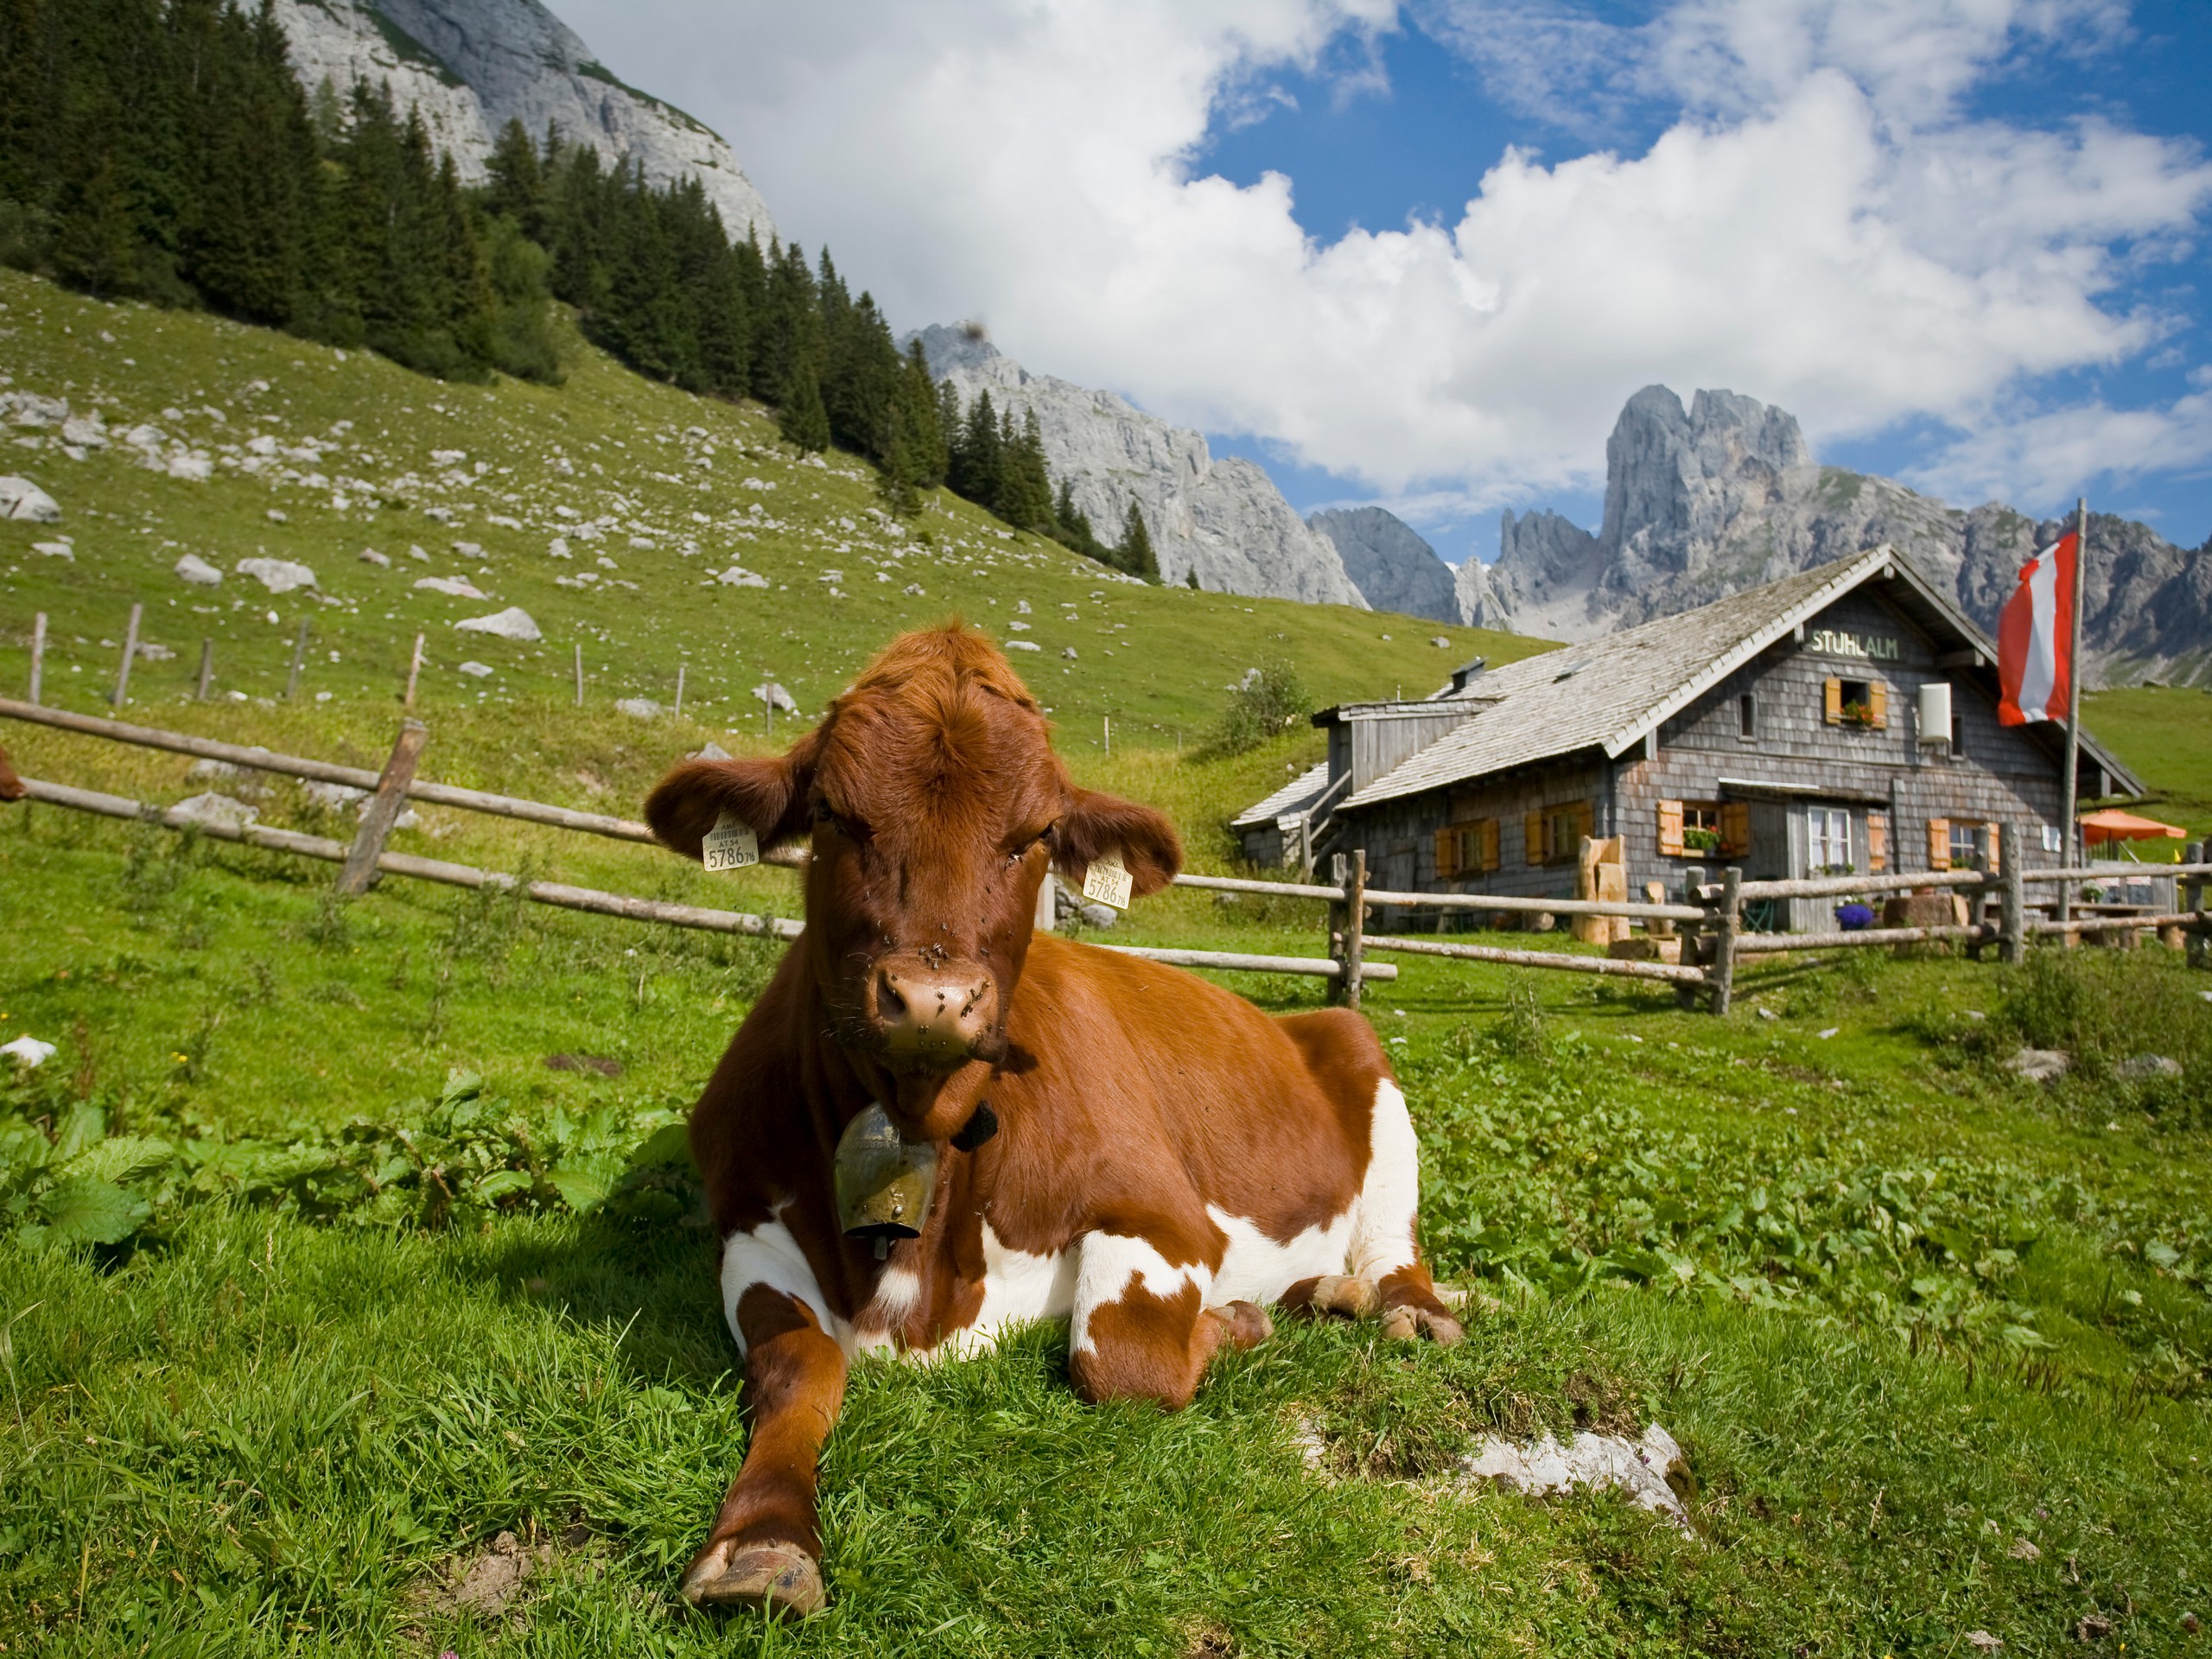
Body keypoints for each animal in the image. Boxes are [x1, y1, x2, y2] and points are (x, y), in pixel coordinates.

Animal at [645, 628, 1459, 1628]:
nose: (933, 999)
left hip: (1361, 1057)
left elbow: (1118, 1361)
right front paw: (760, 1542)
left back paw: (1401, 1311)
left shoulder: (1162, 1214)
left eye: (1033, 836)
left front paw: (1235, 1322)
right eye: (834, 815)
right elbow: (801, 1364)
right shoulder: (747, 1224)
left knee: (1394, 1248)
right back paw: (1325, 1296)